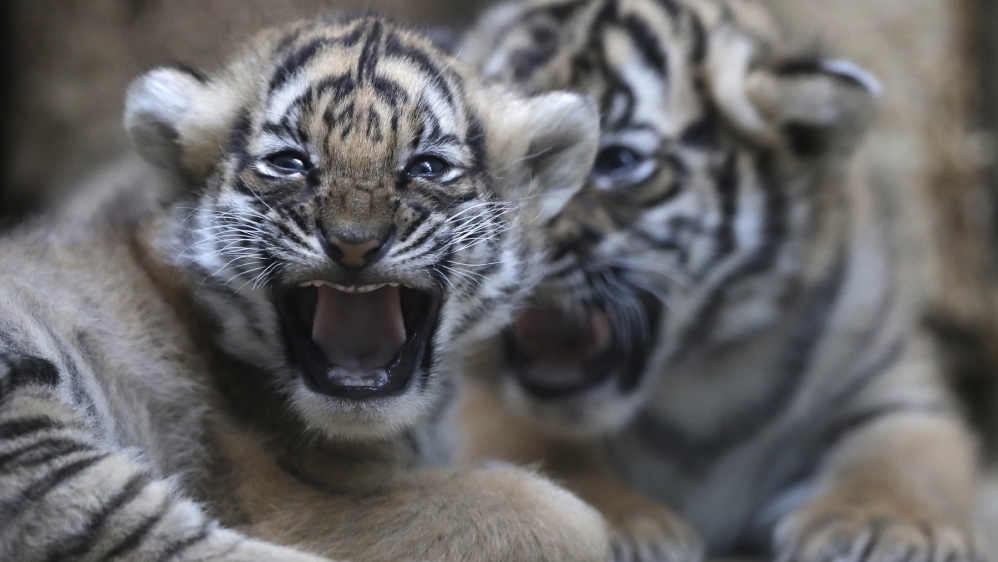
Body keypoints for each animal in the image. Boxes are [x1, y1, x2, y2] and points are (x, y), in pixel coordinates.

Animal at [454, 0, 982, 561]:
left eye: (617, 160)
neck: (699, 374)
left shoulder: (892, 380)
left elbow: (903, 458)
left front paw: (886, 525)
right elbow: (539, 449)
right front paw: (624, 524)